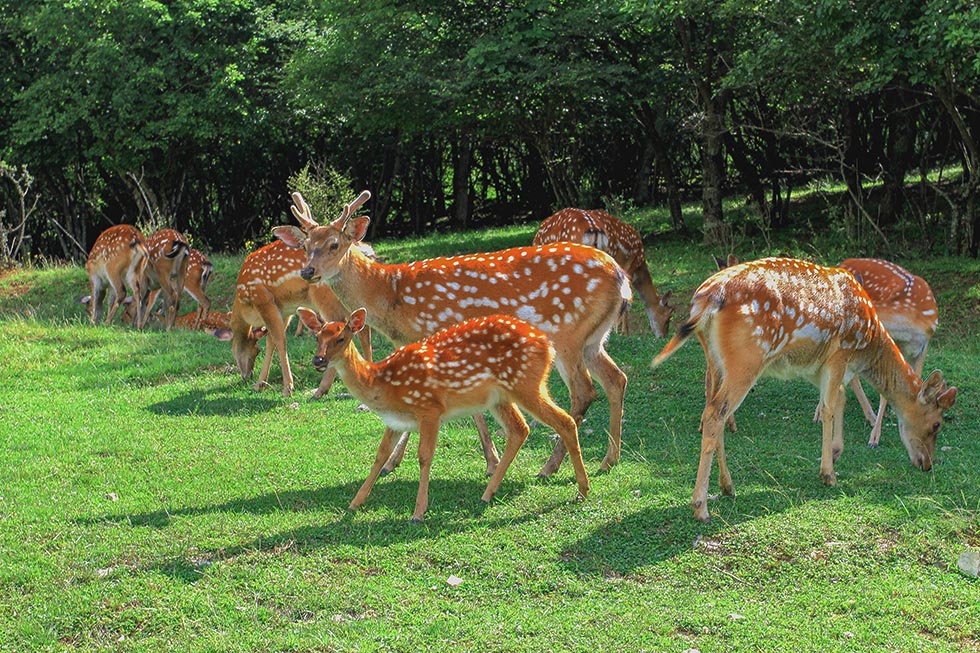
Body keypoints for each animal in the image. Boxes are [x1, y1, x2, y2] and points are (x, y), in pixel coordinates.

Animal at [228, 236, 374, 398]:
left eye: (256, 351)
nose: (247, 375)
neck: (245, 304)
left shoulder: (264, 301)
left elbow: (279, 341)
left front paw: (287, 388)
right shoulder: (284, 309)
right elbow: (271, 341)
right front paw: (260, 385)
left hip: (324, 295)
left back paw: (321, 389)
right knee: (363, 327)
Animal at [274, 188, 628, 478]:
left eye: (334, 244)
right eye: (306, 246)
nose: (307, 270)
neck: (391, 295)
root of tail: (621, 275)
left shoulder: (437, 336)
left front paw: (489, 462)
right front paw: (396, 462)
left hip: (567, 332)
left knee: (584, 390)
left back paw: (550, 466)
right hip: (593, 338)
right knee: (616, 379)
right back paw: (609, 459)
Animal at [296, 306, 588, 524]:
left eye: (341, 338)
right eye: (317, 337)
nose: (318, 361)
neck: (382, 384)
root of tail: (548, 346)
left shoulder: (429, 408)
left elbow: (424, 457)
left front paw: (418, 512)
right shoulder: (396, 421)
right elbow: (379, 456)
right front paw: (355, 503)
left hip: (526, 383)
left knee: (563, 420)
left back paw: (582, 489)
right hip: (500, 396)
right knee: (519, 429)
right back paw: (488, 493)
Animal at [652, 258, 956, 524]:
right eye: (937, 424)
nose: (927, 464)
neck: (868, 343)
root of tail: (705, 299)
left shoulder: (815, 366)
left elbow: (838, 399)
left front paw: (835, 452)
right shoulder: (840, 353)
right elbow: (829, 407)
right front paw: (829, 474)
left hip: (715, 360)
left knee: (713, 409)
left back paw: (727, 487)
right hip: (747, 358)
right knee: (716, 413)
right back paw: (701, 507)